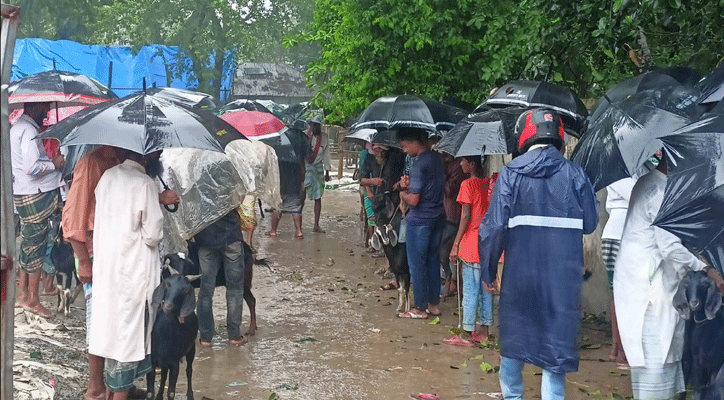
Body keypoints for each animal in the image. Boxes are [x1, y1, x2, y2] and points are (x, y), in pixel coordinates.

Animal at [146, 256, 199, 400]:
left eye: (185, 290)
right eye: (167, 284)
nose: (167, 306)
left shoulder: (174, 363)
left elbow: (171, 393)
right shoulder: (152, 362)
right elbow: (150, 392)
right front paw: (156, 395)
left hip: (191, 348)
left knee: (189, 370)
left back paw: (190, 394)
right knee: (164, 374)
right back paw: (159, 395)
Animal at [672, 270, 724, 398]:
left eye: (705, 285)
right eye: (686, 285)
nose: (694, 303)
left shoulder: (704, 363)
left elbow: (699, 389)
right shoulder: (687, 358)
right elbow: (684, 386)